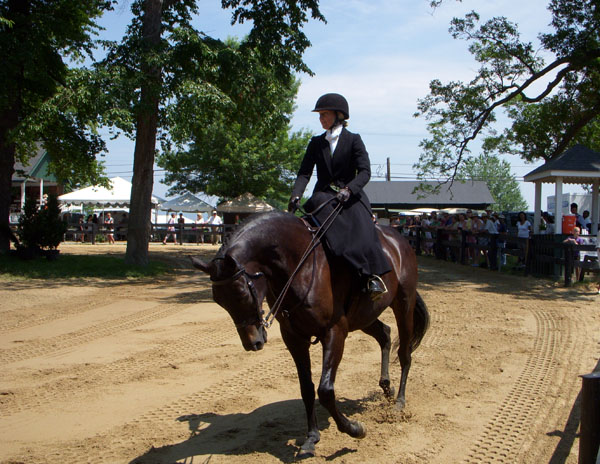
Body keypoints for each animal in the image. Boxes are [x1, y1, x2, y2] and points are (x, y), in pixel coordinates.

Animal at [190, 211, 428, 456]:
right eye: (219, 300)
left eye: (241, 292)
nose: (252, 342)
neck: (298, 266)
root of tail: (399, 241)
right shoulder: (294, 338)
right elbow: (307, 388)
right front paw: (311, 437)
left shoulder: (334, 332)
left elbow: (325, 390)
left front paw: (355, 429)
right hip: (364, 318)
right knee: (385, 334)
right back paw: (386, 386)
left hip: (404, 305)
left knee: (404, 353)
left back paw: (399, 402)